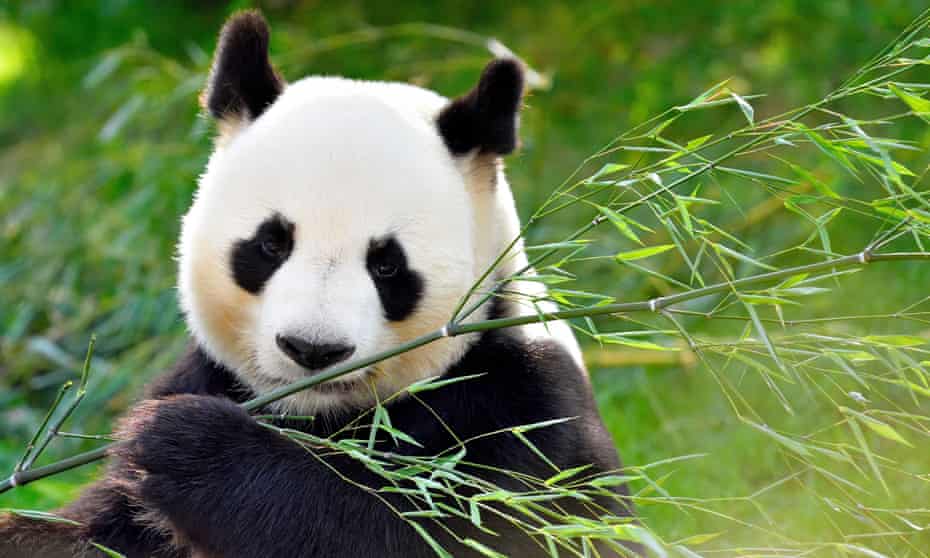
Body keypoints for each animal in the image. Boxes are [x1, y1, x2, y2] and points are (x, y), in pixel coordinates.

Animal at [0, 11, 638, 558]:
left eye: (387, 265)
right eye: (270, 245)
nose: (312, 350)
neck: (322, 416)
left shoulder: (521, 411)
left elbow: (422, 531)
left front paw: (183, 444)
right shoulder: (210, 376)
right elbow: (94, 535)